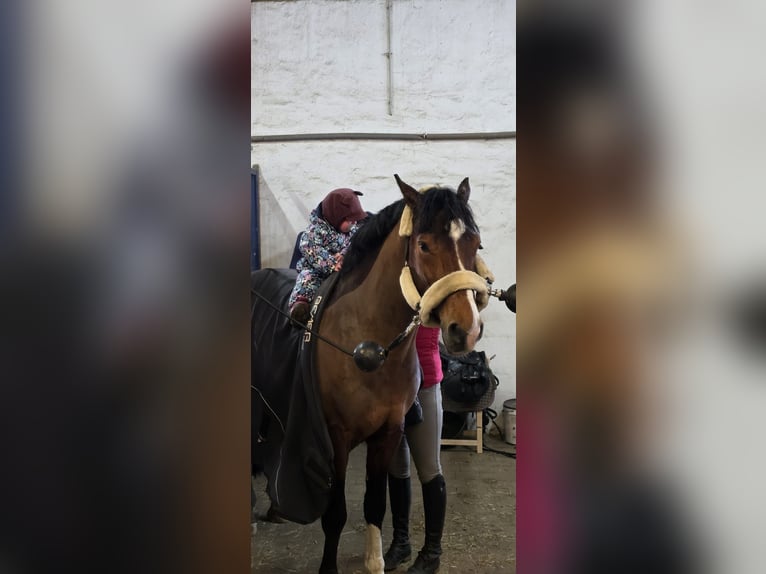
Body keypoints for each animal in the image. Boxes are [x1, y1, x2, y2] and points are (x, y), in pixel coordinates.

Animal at [252, 175, 491, 574]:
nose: (466, 329)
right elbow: (335, 513)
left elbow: (377, 503)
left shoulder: (388, 432)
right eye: (424, 245)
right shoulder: (334, 437)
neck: (368, 344)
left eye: (474, 243)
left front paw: (376, 560)